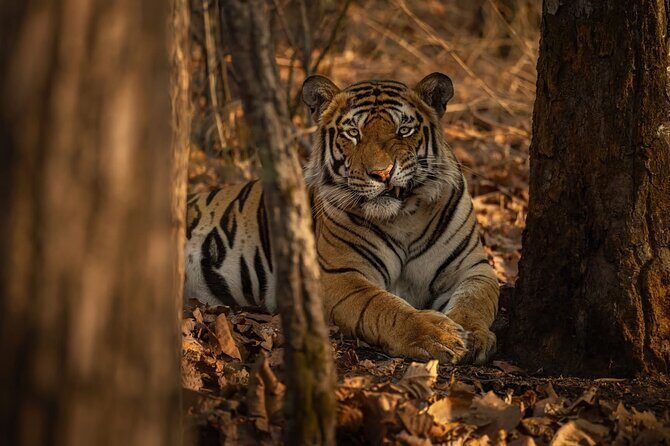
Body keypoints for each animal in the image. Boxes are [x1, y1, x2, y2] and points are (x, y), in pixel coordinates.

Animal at [184, 73, 499, 364]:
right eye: (353, 133)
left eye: (404, 130)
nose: (382, 173)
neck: (403, 217)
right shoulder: (339, 275)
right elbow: (385, 307)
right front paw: (438, 334)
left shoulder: (473, 268)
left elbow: (475, 300)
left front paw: (475, 336)